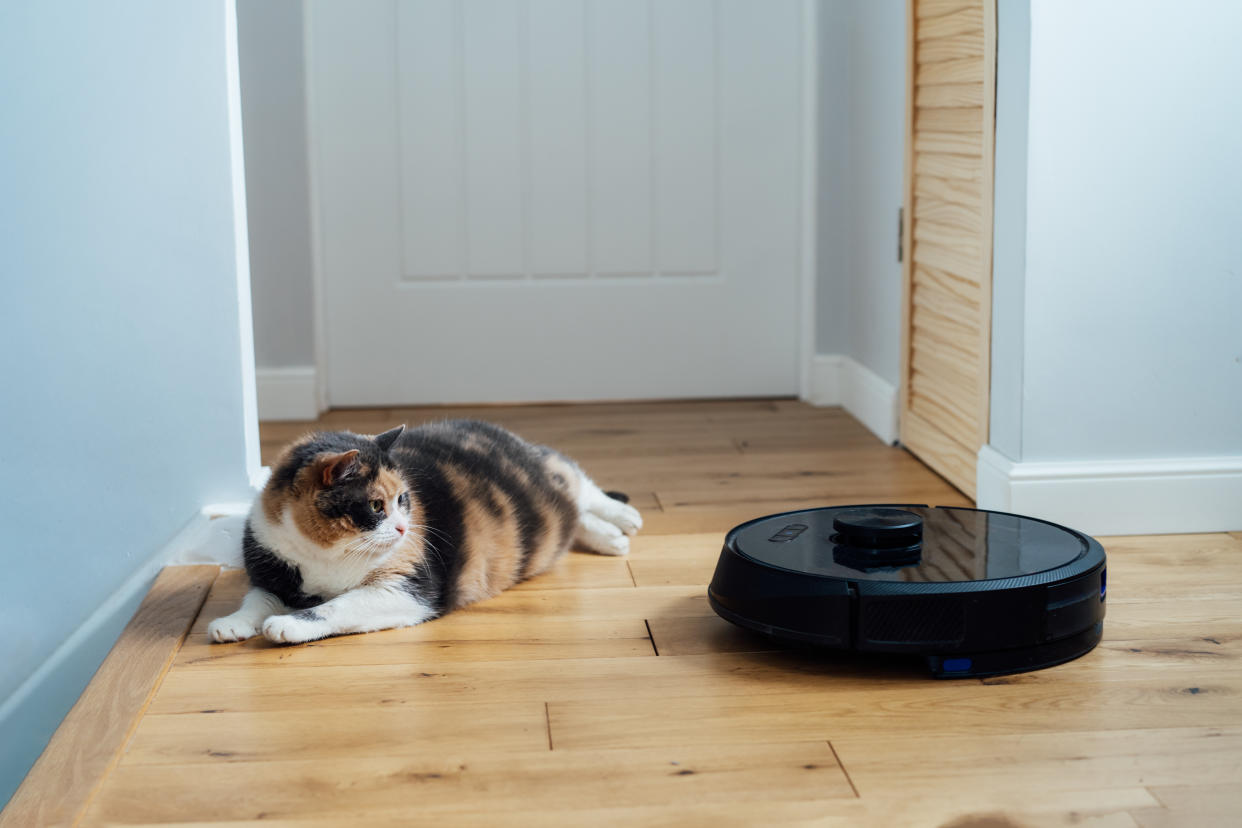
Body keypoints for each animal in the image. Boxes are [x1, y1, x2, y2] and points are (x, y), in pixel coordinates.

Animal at [208, 422, 640, 645]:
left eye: (403, 498)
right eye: (375, 506)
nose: (403, 527)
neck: (325, 556)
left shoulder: (408, 589)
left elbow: (339, 606)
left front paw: (289, 624)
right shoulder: (273, 566)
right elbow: (257, 599)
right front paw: (231, 623)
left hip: (553, 470)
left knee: (579, 483)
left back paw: (624, 520)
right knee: (574, 514)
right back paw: (609, 535)